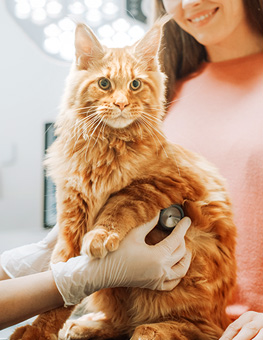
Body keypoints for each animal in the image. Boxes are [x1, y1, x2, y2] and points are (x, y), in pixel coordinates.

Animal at [10, 18, 237, 340]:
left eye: (135, 84)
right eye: (104, 83)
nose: (120, 104)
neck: (107, 146)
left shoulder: (161, 182)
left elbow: (119, 204)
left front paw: (101, 235)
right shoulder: (72, 216)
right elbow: (59, 284)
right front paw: (38, 330)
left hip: (185, 281)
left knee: (194, 328)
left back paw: (151, 330)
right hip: (114, 293)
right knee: (120, 321)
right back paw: (85, 326)